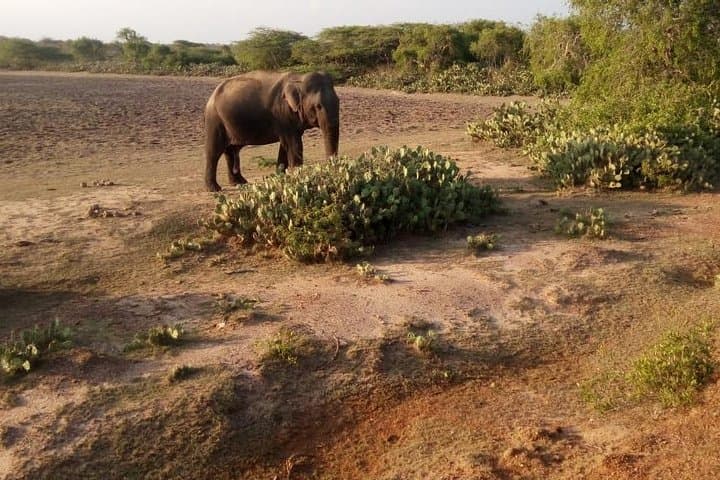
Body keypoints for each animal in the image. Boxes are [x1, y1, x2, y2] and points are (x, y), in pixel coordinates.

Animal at [203, 71, 340, 192]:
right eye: (318, 106)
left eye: (339, 102)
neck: (299, 79)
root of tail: (211, 96)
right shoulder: (282, 114)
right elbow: (293, 144)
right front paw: (298, 177)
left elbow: (285, 146)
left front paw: (280, 177)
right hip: (215, 121)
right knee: (214, 152)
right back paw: (214, 189)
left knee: (231, 151)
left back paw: (240, 182)